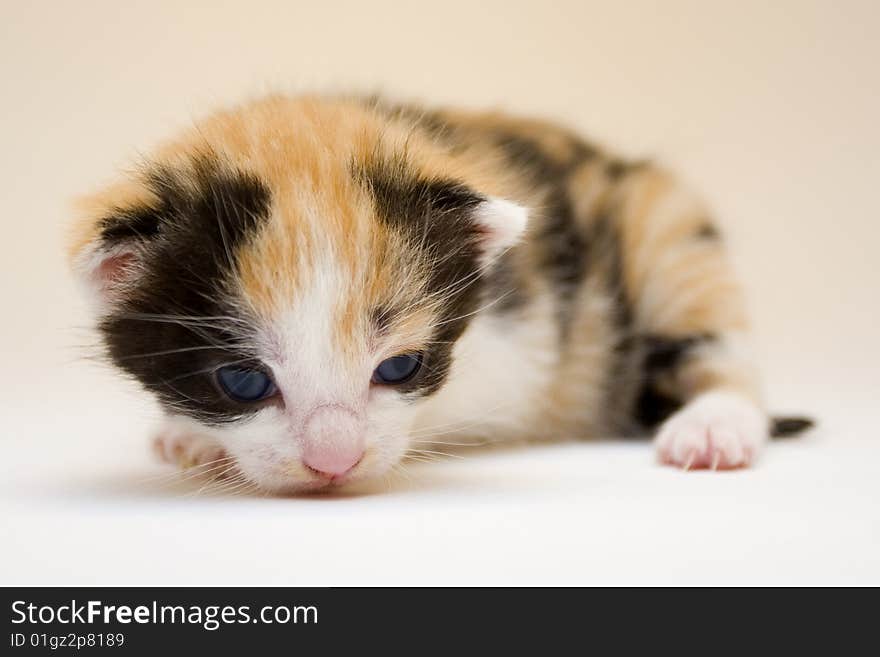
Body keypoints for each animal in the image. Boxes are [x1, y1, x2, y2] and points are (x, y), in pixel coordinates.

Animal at [69, 93, 812, 492]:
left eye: (400, 366)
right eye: (242, 381)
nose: (333, 463)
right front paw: (189, 438)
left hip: (669, 230)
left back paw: (714, 428)